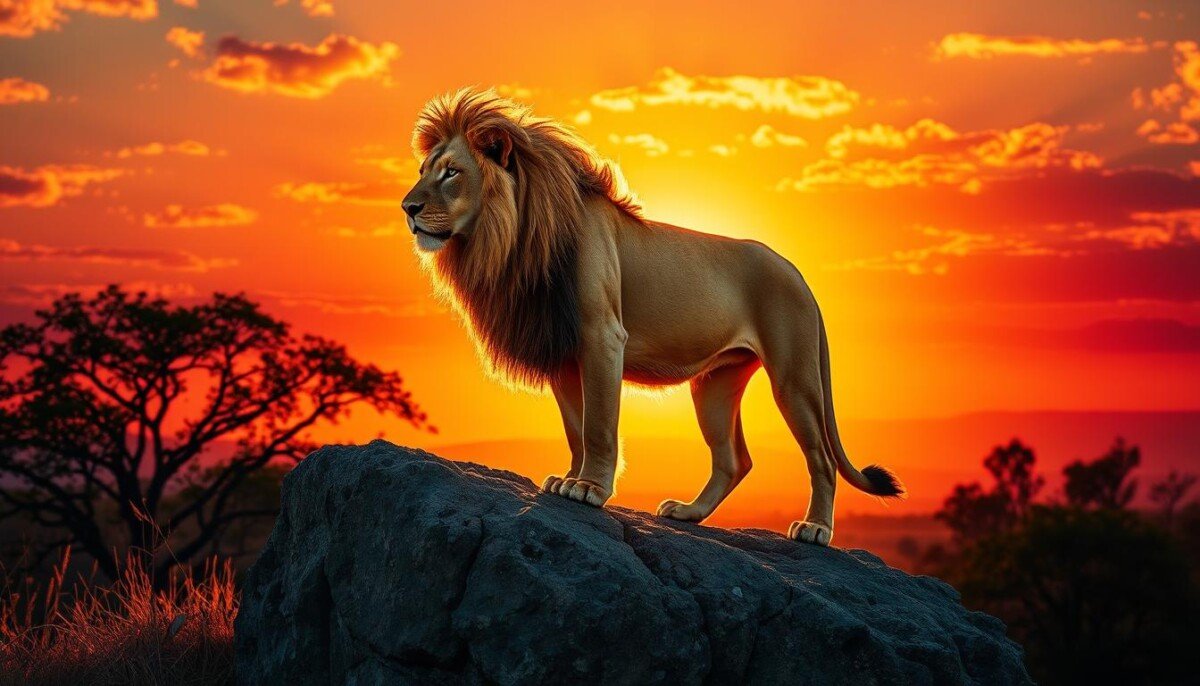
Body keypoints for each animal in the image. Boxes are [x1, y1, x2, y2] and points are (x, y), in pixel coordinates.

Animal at [402, 89, 903, 546]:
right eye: (424, 171)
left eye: (451, 172)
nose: (407, 208)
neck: (513, 238)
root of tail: (799, 273)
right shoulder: (561, 349)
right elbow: (575, 428)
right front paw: (567, 480)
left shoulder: (602, 336)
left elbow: (599, 424)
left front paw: (590, 489)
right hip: (715, 384)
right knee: (734, 460)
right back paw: (688, 512)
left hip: (793, 376)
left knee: (821, 457)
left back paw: (815, 530)